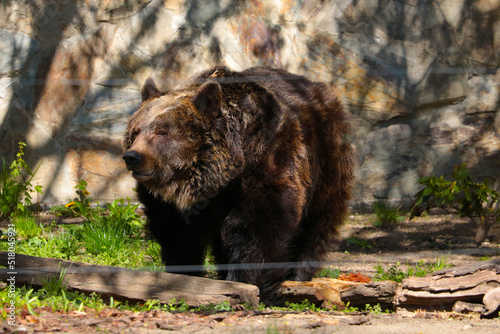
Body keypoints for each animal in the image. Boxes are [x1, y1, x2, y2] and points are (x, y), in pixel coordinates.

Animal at [123, 66, 354, 298]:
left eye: (162, 132)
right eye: (135, 132)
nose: (132, 156)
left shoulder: (264, 165)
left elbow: (258, 228)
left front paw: (246, 281)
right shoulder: (171, 205)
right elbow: (178, 235)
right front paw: (183, 273)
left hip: (324, 159)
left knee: (318, 220)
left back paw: (298, 273)